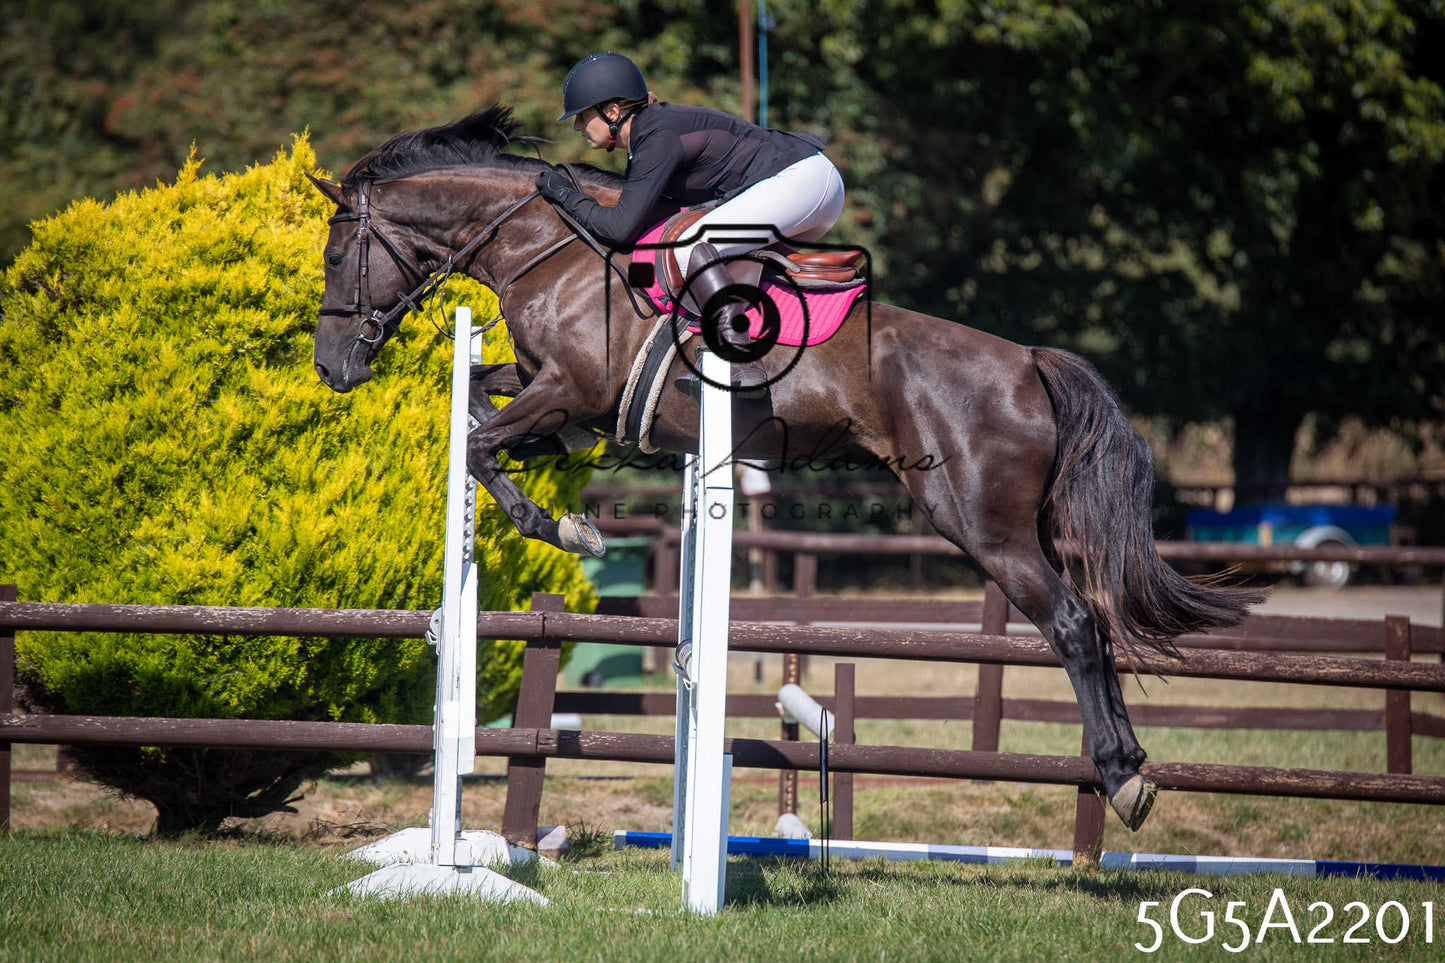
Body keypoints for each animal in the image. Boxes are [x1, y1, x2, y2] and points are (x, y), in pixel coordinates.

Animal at [309, 107, 1261, 831]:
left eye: (334, 256)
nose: (331, 368)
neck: (555, 249)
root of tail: (1027, 360)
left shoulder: (571, 387)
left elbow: (480, 445)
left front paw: (563, 526)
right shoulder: (557, 395)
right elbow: (479, 414)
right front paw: (550, 497)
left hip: (980, 522)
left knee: (1068, 622)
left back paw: (1123, 776)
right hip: (1034, 524)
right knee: (1095, 616)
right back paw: (1130, 765)